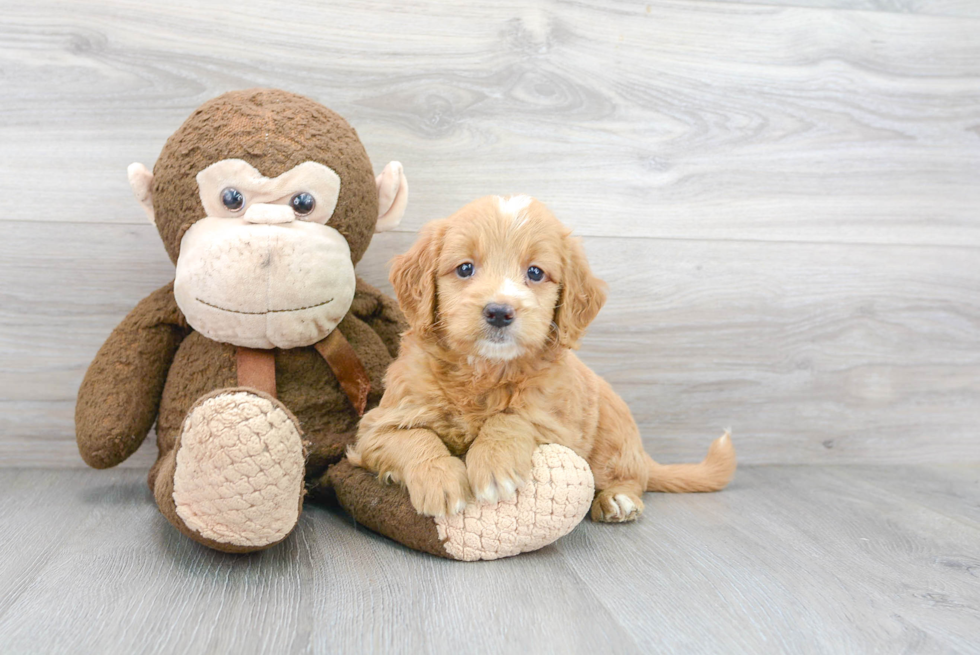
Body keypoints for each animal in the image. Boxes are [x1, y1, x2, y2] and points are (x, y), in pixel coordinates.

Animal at [352, 195, 736, 524]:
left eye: (535, 273)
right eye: (464, 269)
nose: (499, 312)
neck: (484, 371)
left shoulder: (559, 426)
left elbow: (511, 417)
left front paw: (495, 464)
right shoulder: (376, 427)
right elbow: (414, 438)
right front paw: (440, 481)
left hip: (613, 431)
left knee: (629, 477)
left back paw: (617, 499)